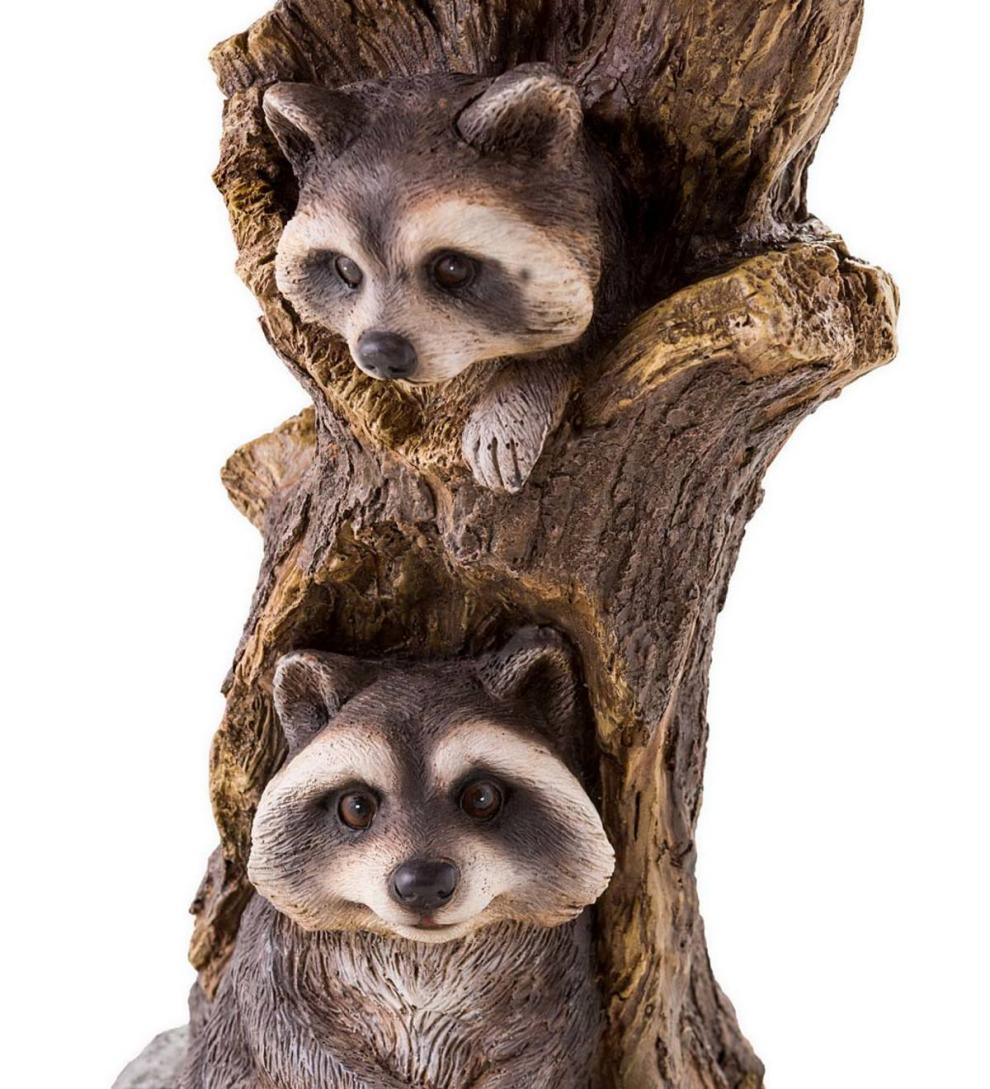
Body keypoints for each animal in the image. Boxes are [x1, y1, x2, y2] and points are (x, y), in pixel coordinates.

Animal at [181, 628, 614, 1089]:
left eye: (481, 797)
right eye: (356, 806)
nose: (423, 883)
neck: (423, 950)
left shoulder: (563, 962)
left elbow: (550, 1048)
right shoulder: (271, 953)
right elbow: (294, 1044)